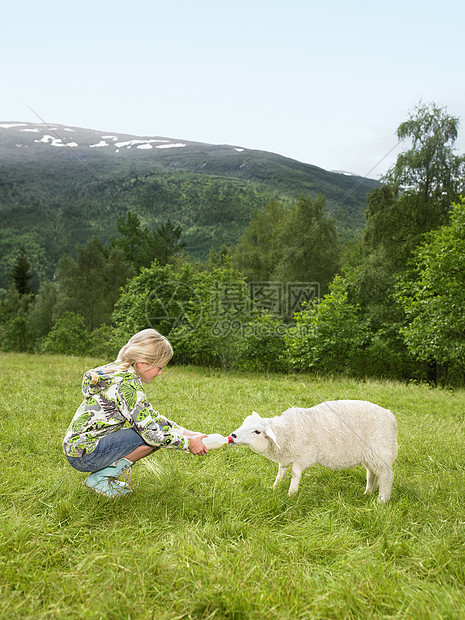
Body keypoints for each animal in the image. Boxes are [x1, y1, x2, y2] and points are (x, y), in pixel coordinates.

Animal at [230, 400, 396, 502]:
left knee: (386, 475)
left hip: (381, 451)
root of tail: (391, 415)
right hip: (370, 455)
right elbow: (280, 472)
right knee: (372, 474)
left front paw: (291, 495)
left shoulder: (302, 457)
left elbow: (295, 474)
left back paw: (382, 500)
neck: (287, 431)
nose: (233, 436)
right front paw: (274, 487)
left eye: (257, 431)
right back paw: (368, 492)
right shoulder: (286, 457)